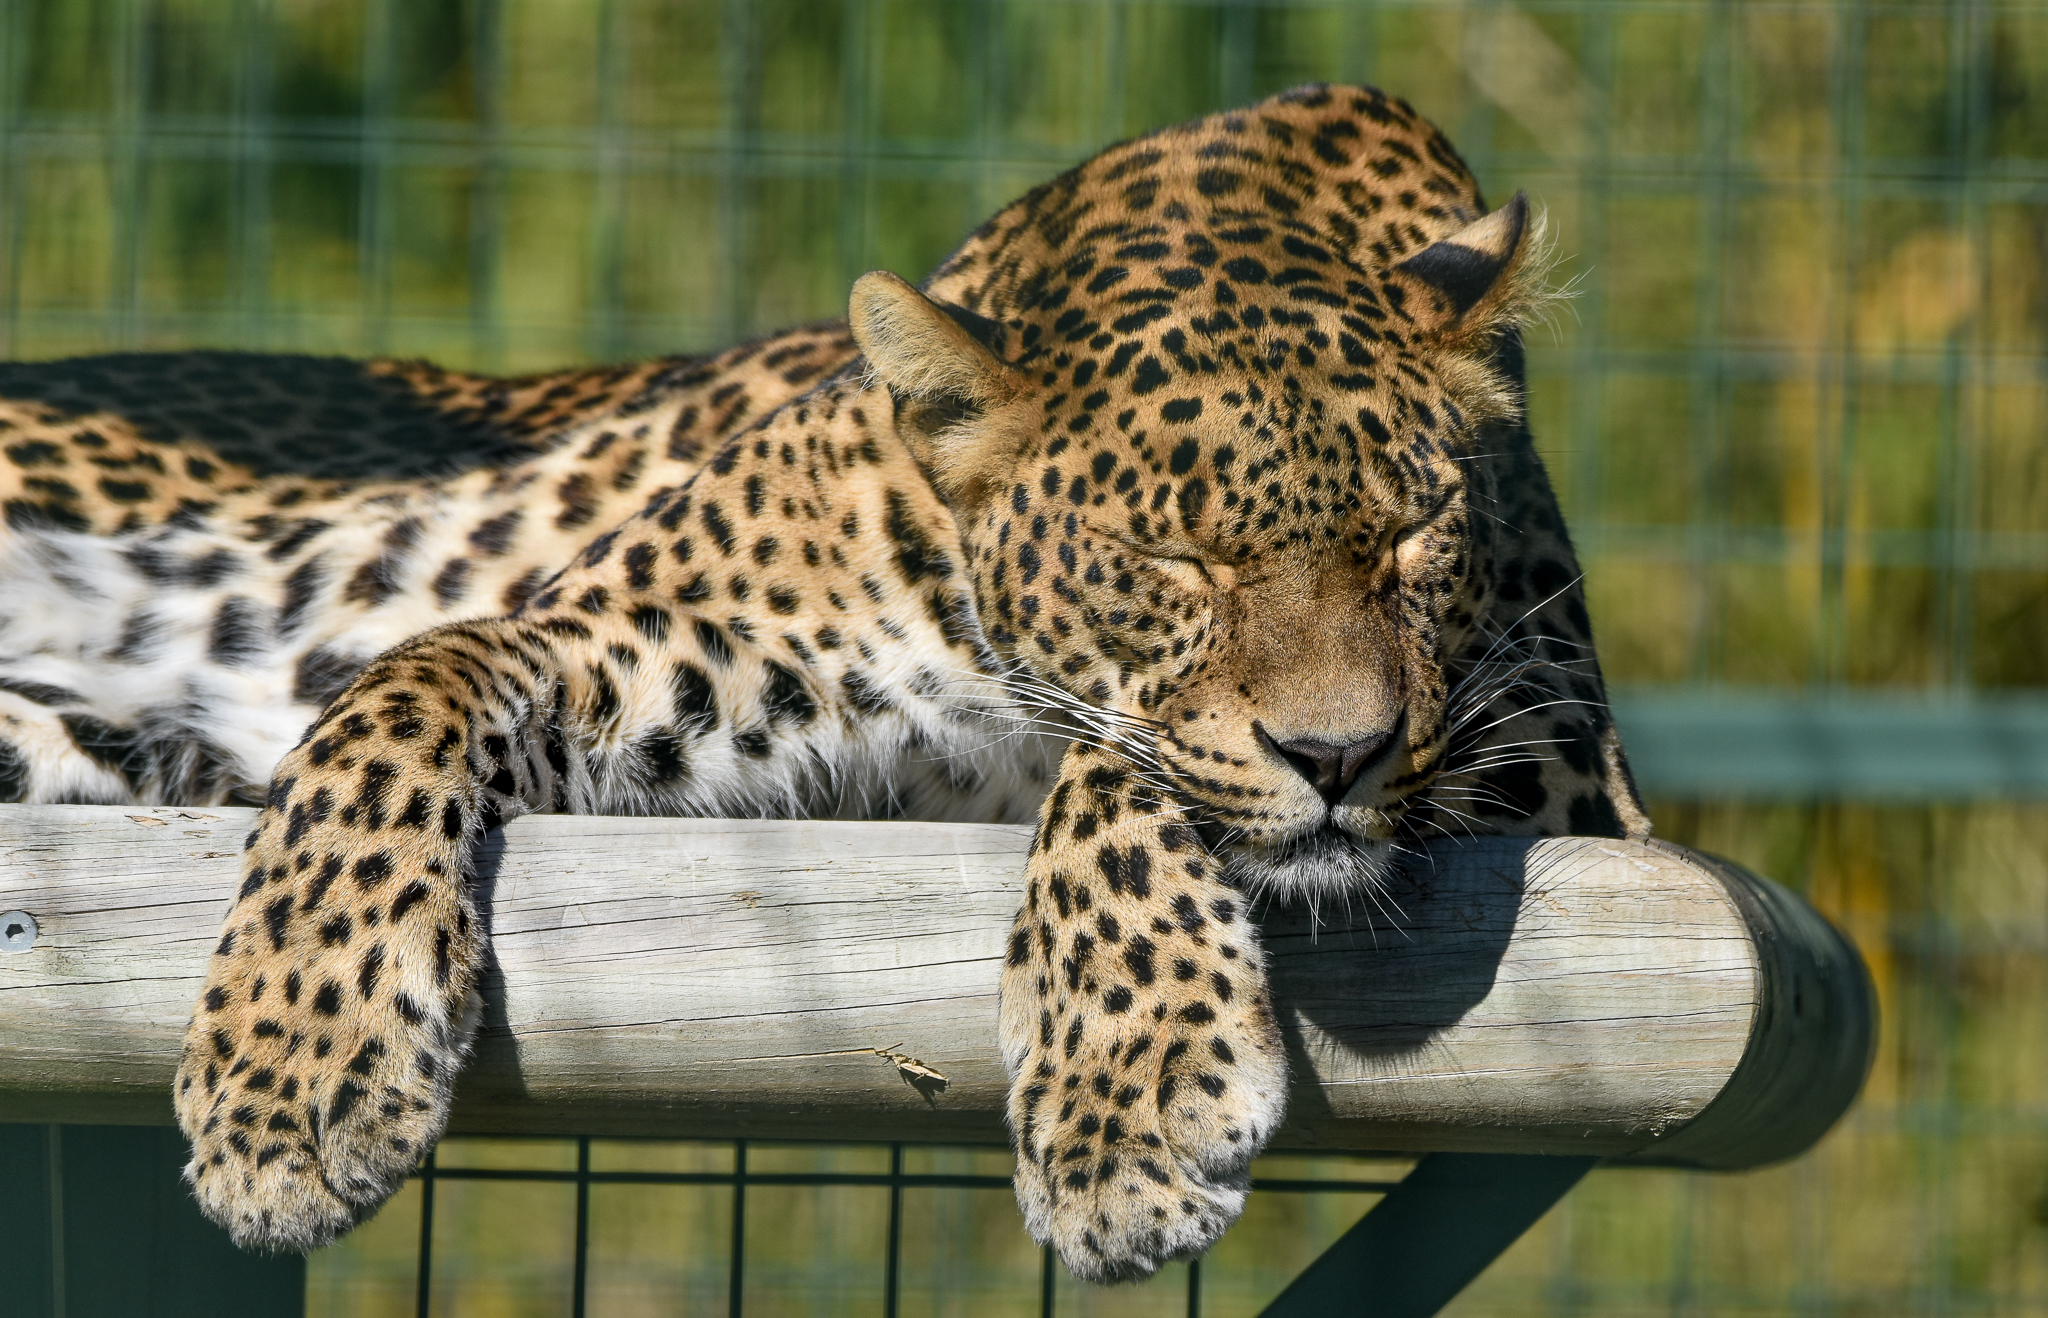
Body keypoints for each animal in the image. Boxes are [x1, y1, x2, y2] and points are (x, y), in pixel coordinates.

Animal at [0, 84, 1648, 1283]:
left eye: (1410, 539)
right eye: (1166, 557)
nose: (1341, 755)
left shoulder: (1558, 756)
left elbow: (1131, 763)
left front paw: (1124, 1088)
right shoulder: (633, 635)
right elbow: (400, 688)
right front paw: (298, 1065)